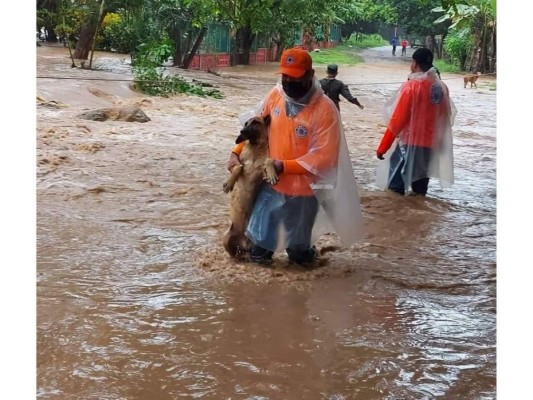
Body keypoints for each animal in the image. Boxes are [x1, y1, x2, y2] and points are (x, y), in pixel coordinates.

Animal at [221, 115, 278, 260]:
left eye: (256, 122)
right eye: (246, 123)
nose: (242, 131)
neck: (255, 148)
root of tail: (244, 243)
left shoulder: (262, 172)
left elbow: (269, 160)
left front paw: (271, 173)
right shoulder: (238, 163)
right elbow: (238, 167)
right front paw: (229, 183)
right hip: (226, 238)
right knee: (234, 254)